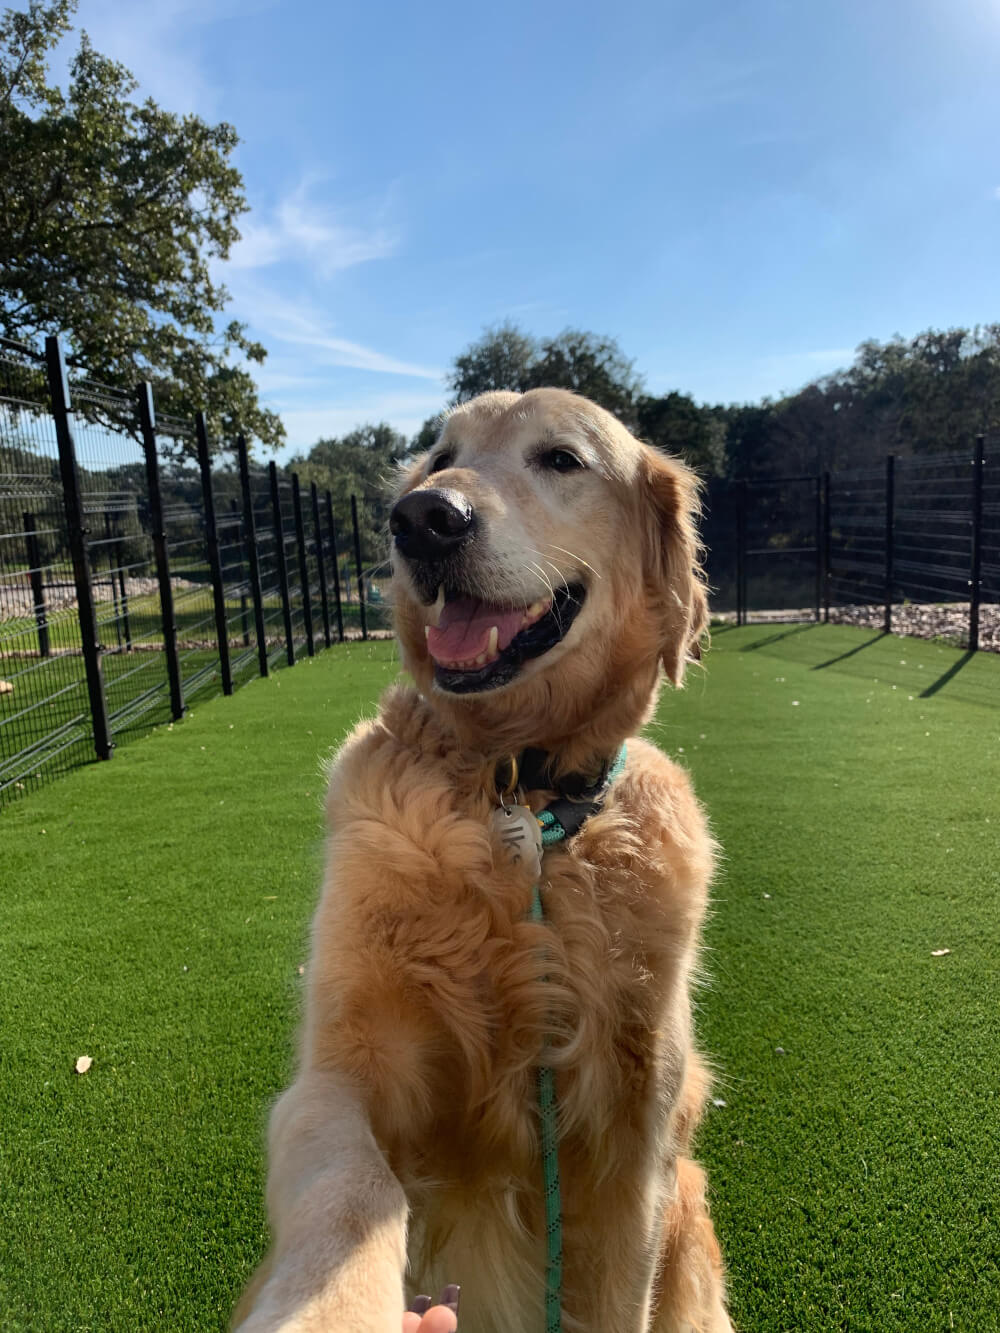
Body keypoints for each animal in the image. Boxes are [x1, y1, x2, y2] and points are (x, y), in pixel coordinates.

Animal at [234, 386, 736, 1333]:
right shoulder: (337, 1073)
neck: (519, 790)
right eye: (439, 459)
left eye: (562, 458)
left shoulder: (639, 1139)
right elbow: (355, 1191)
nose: (424, 520)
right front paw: (329, 1307)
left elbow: (620, 1290)